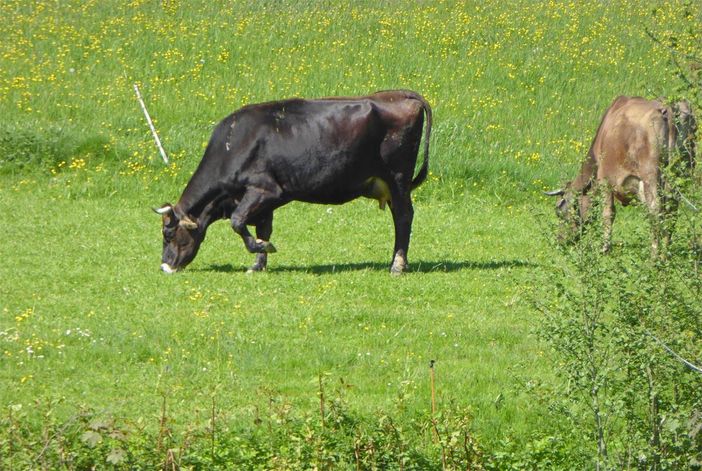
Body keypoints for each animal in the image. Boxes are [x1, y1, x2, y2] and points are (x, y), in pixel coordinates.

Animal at [155, 90, 432, 274]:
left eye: (168, 234)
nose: (165, 266)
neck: (235, 144)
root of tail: (400, 94)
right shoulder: (263, 203)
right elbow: (262, 228)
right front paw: (259, 262)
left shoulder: (265, 190)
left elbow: (238, 221)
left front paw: (262, 248)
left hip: (397, 179)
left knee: (404, 217)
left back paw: (397, 265)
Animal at [548, 95, 696, 254]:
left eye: (559, 212)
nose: (561, 241)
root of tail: (668, 107)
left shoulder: (604, 180)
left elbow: (608, 213)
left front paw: (605, 248)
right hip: (680, 174)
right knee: (672, 209)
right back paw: (665, 252)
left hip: (650, 175)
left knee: (655, 210)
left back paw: (654, 254)